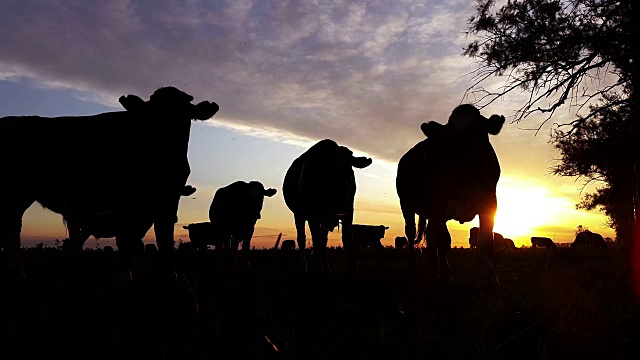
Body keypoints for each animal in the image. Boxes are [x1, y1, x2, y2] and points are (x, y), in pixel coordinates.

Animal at [0, 86, 219, 278]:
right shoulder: (126, 206)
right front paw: (124, 275)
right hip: (15, 195)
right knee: (12, 237)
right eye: (149, 116)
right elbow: (126, 243)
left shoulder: (168, 201)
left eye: (184, 116)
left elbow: (164, 243)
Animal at [282, 139, 372, 272]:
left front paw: (352, 267)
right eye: (329, 175)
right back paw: (305, 265)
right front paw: (323, 268)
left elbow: (347, 239)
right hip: (298, 214)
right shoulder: (312, 215)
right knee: (302, 239)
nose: (342, 205)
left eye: (350, 175)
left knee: (322, 239)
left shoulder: (349, 210)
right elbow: (316, 241)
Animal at [396, 104, 504, 282]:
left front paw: (490, 277)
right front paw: (446, 273)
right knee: (411, 233)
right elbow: (444, 240)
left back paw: (434, 269)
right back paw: (412, 266)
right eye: (449, 136)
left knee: (430, 235)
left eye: (478, 130)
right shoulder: (438, 205)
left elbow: (486, 241)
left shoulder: (489, 203)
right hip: (406, 204)